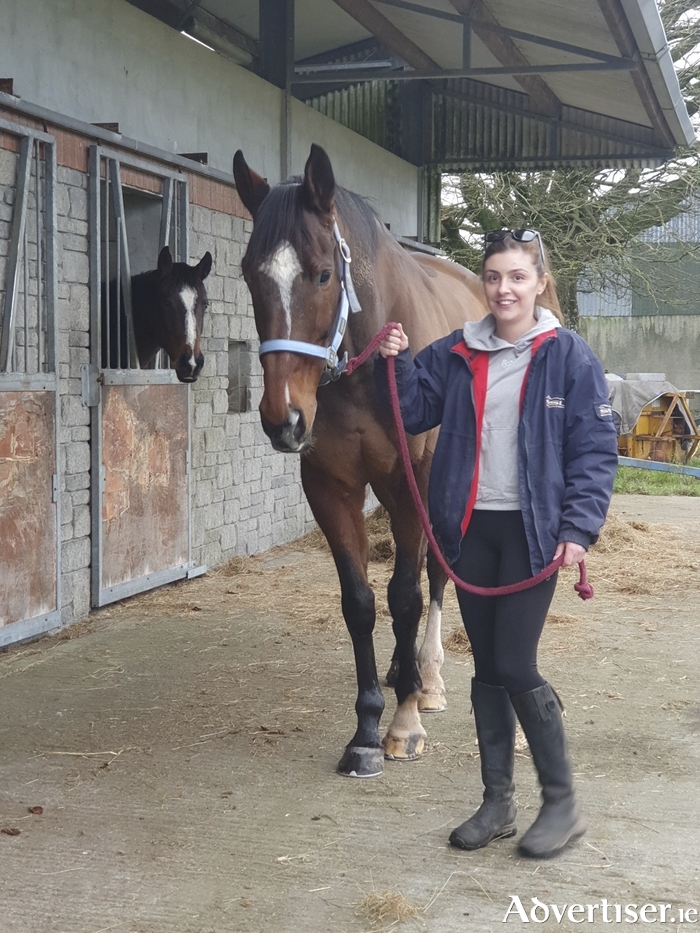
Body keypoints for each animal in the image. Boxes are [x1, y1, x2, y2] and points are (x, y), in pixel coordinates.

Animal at [234, 144, 486, 772]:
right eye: (250, 274)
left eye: (324, 273)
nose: (284, 419)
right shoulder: (330, 487)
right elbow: (362, 603)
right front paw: (368, 727)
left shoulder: (412, 483)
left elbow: (405, 595)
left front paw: (404, 723)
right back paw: (404, 671)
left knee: (435, 573)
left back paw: (429, 679)